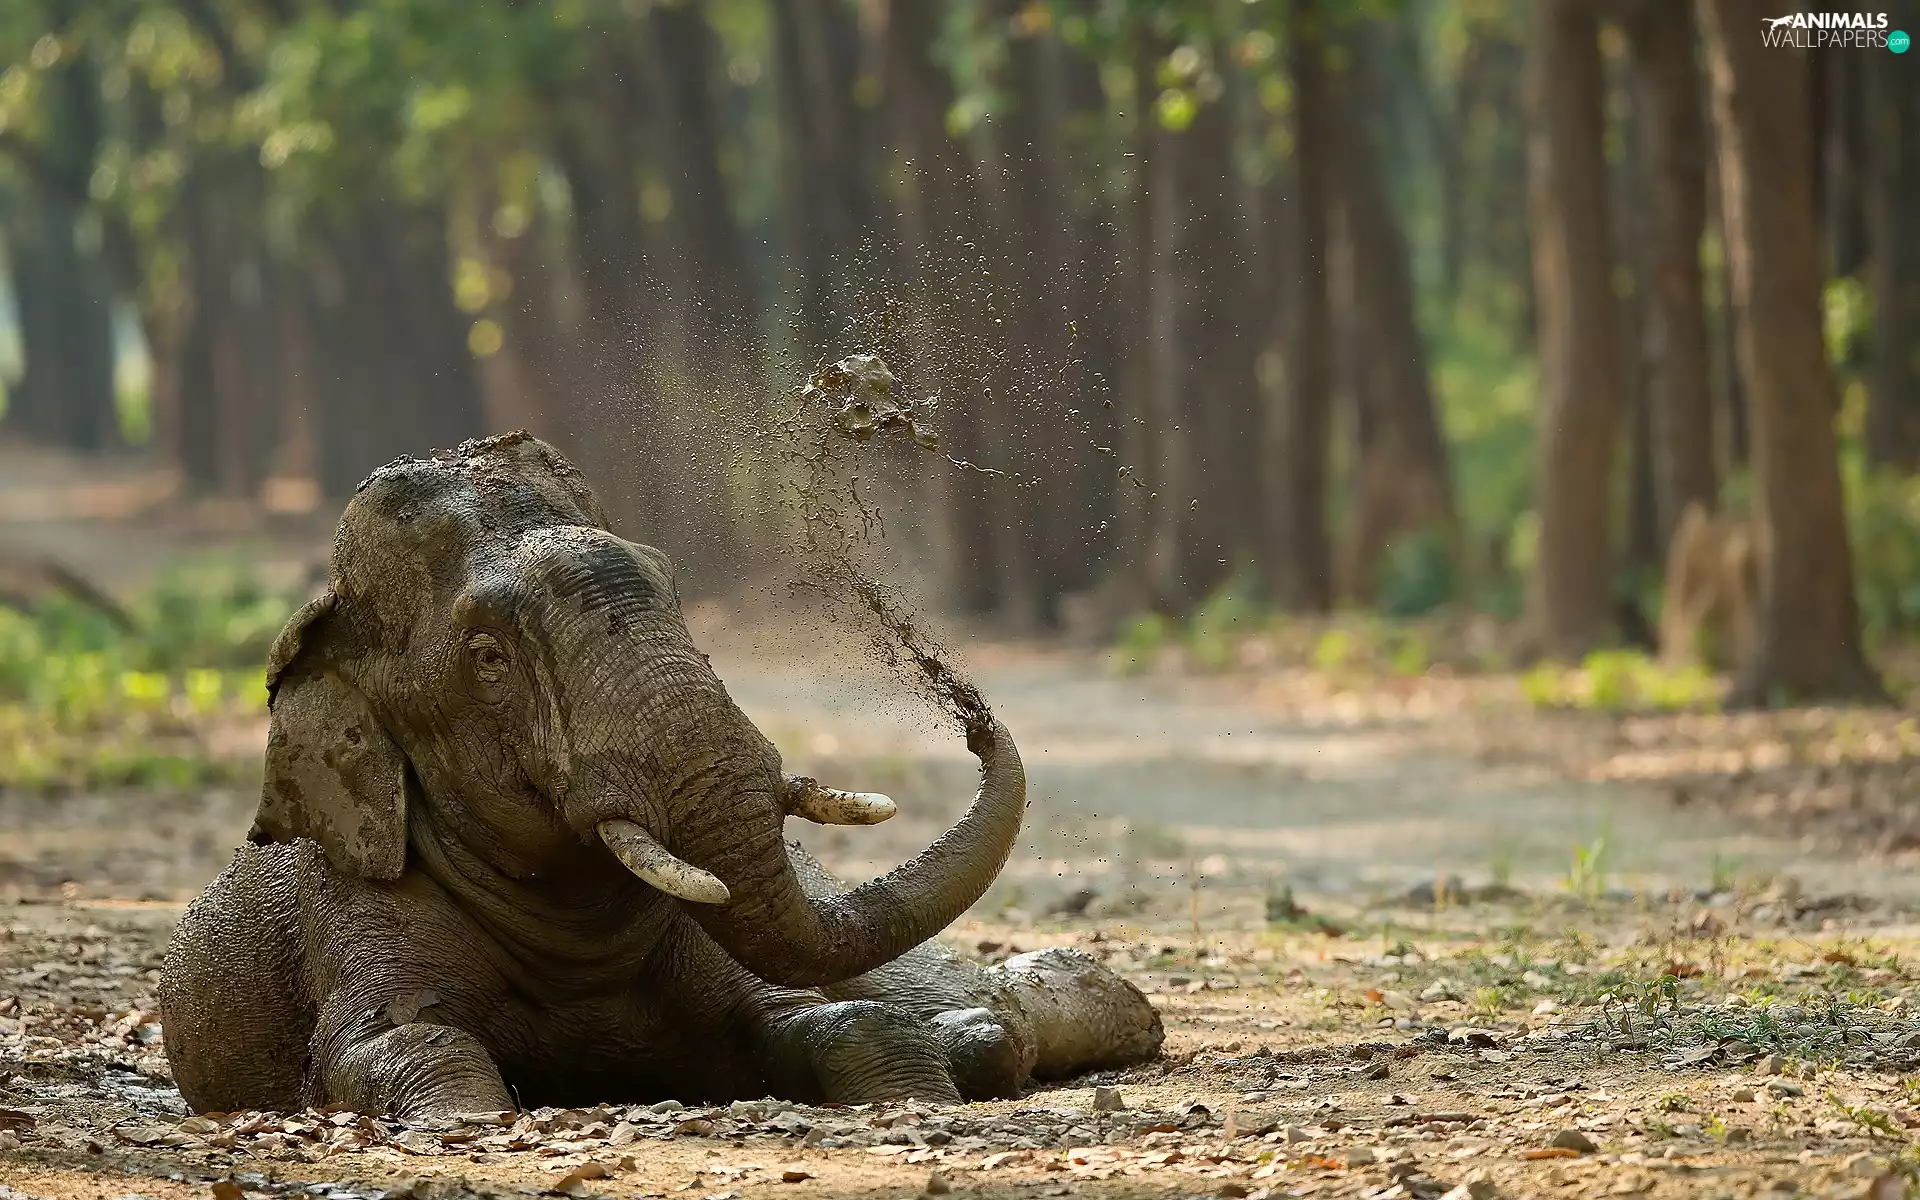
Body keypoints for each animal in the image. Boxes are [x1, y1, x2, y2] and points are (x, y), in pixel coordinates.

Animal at [159, 432, 1160, 1121]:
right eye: (487, 656)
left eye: (674, 586)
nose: (953, 688)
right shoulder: (353, 914)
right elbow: (391, 1045)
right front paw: (471, 1118)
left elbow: (826, 1015)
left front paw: (917, 1086)